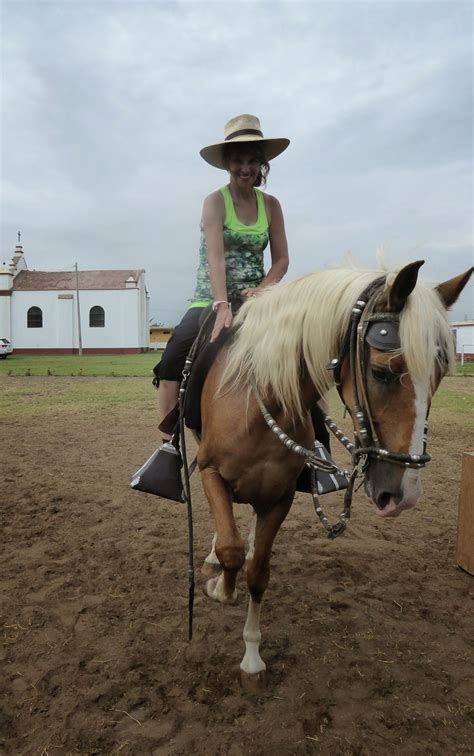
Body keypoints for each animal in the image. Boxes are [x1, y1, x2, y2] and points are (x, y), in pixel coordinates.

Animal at [194, 262, 472, 692]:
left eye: (439, 374)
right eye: (381, 372)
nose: (404, 495)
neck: (258, 404)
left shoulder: (279, 497)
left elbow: (257, 571)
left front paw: (252, 657)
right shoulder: (209, 472)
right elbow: (230, 550)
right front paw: (216, 587)